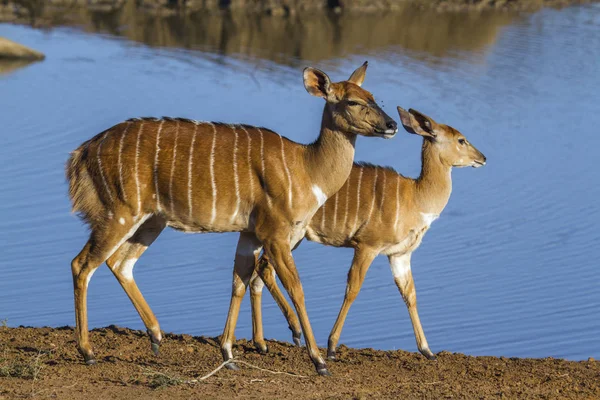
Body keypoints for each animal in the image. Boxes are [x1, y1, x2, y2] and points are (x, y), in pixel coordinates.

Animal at [65, 61, 396, 376]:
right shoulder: (275, 232)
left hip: (150, 220)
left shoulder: (249, 233)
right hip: (120, 211)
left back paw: (157, 337)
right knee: (82, 264)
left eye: (373, 96)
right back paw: (88, 352)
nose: (391, 125)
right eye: (353, 101)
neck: (307, 168)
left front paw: (228, 355)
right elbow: (296, 288)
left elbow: (239, 281)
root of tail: (83, 151)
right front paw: (319, 361)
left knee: (119, 263)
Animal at [246, 105, 486, 360]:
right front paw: (332, 347)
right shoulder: (367, 245)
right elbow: (353, 288)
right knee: (264, 269)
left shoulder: (399, 254)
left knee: (258, 272)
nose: (482, 158)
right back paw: (293, 332)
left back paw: (262, 343)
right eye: (461, 139)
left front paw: (427, 350)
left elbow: (409, 294)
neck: (415, 197)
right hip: (289, 235)